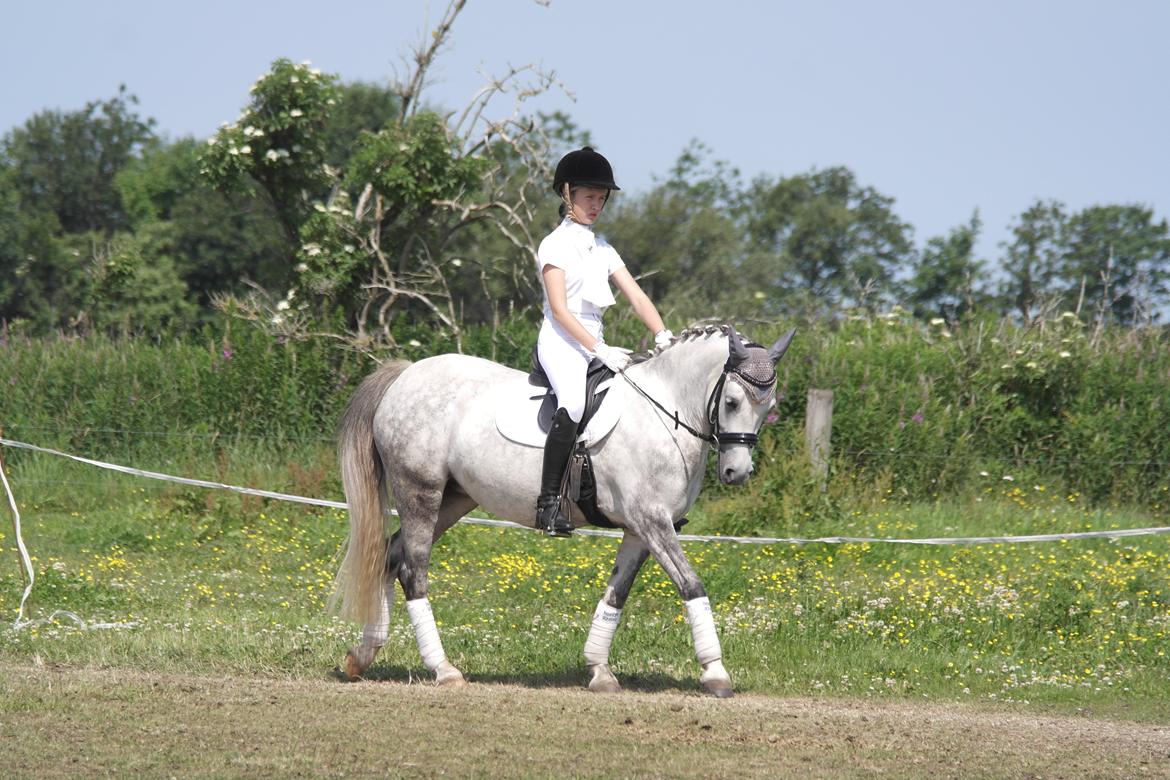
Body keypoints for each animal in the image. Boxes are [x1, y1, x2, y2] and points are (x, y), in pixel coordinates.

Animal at [334, 320, 800, 696]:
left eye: (769, 407)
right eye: (733, 402)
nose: (737, 472)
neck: (665, 413)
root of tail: (405, 375)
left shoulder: (640, 529)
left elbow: (616, 594)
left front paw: (599, 671)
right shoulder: (652, 521)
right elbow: (692, 585)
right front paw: (716, 672)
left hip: (454, 499)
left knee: (390, 557)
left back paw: (361, 657)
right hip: (420, 492)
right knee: (413, 572)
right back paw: (444, 669)